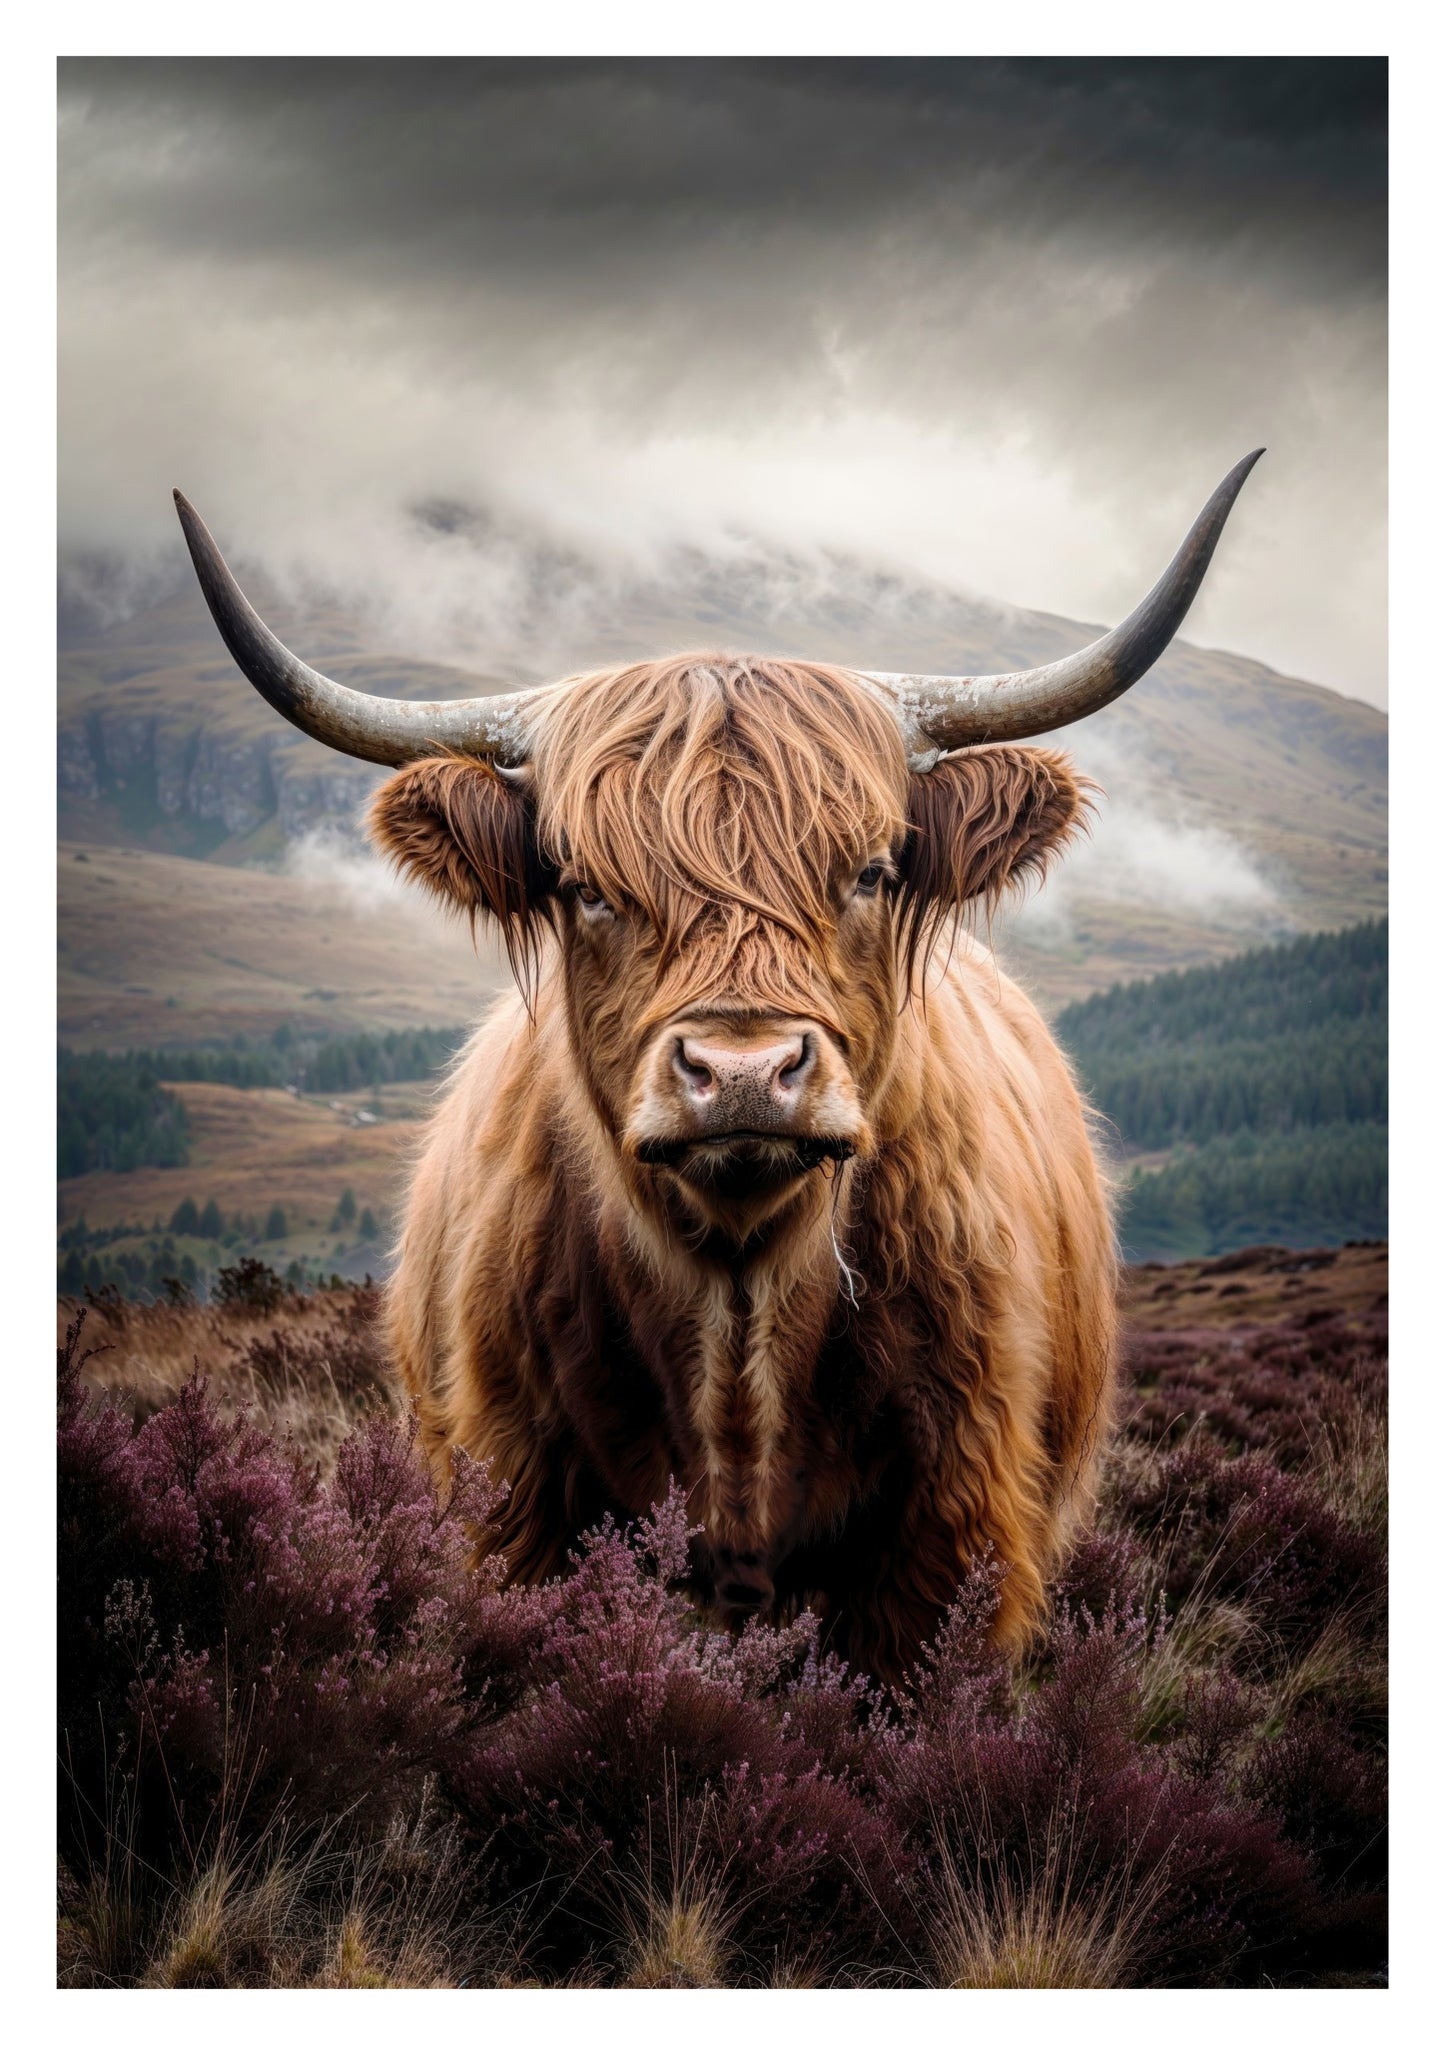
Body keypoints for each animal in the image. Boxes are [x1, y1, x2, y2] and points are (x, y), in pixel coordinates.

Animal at [174, 450, 1262, 1679]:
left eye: (870, 869)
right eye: (584, 885)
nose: (743, 1071)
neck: (739, 1312)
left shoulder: (948, 1531)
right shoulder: (514, 1503)